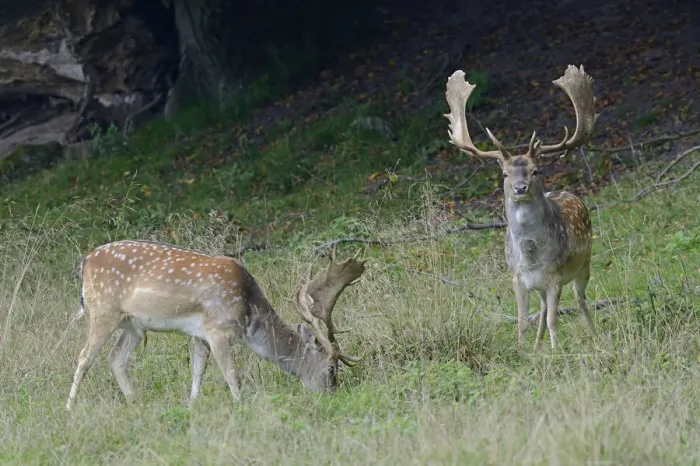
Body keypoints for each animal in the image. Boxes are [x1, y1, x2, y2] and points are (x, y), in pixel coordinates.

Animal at [65, 240, 366, 410]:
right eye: (331, 368)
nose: (333, 394)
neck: (248, 317)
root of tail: (85, 261)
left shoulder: (199, 334)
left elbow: (198, 370)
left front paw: (192, 405)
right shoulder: (218, 329)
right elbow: (232, 374)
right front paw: (240, 407)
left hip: (133, 325)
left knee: (116, 358)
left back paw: (135, 402)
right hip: (103, 310)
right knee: (84, 356)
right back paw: (70, 407)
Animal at [444, 65, 600, 350]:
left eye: (535, 170)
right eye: (505, 174)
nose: (520, 188)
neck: (531, 256)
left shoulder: (555, 276)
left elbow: (553, 319)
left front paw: (557, 350)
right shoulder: (517, 278)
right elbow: (522, 321)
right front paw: (522, 351)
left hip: (584, 263)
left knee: (581, 299)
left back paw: (593, 336)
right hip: (542, 285)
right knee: (543, 307)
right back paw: (538, 348)